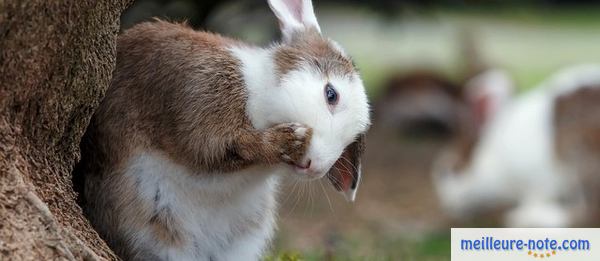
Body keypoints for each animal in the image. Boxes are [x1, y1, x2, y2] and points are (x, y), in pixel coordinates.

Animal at [75, 0, 370, 258]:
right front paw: (290, 139)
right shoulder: (200, 105)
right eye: (331, 94)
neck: (258, 90)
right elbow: (221, 147)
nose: (314, 167)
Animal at [434, 64, 600, 225]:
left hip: (579, 156)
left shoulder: (540, 182)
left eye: (446, 171)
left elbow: (538, 198)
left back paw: (524, 216)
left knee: (588, 213)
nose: (445, 203)